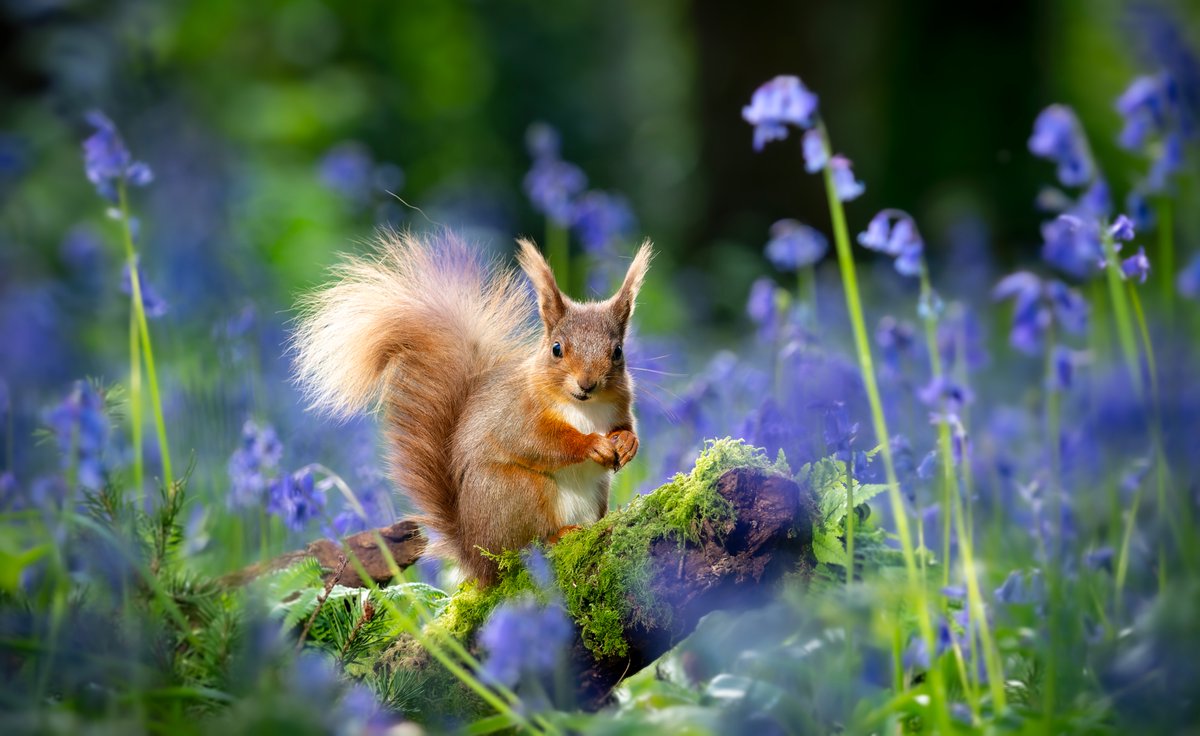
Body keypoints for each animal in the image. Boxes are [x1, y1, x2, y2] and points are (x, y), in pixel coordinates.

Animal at [292, 229, 652, 584]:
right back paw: (555, 536)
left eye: (617, 351)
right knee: (521, 548)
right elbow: (539, 442)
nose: (587, 384)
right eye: (557, 349)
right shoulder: (517, 413)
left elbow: (625, 426)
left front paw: (627, 442)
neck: (584, 408)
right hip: (518, 493)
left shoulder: (620, 405)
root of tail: (475, 556)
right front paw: (591, 444)